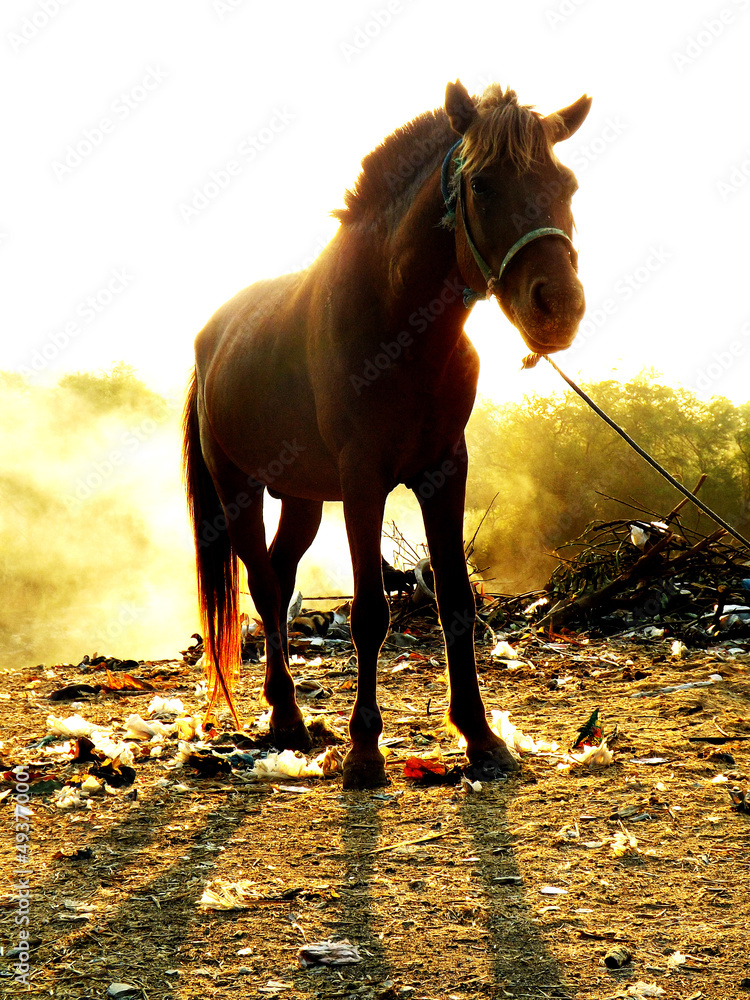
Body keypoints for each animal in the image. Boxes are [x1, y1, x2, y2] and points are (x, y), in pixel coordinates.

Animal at [182, 79, 591, 789]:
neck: (398, 319)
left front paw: (480, 736)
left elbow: (455, 599)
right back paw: (286, 716)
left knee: (281, 578)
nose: (558, 306)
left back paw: (283, 706)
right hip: (240, 490)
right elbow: (369, 611)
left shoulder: (444, 470)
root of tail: (213, 337)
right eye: (482, 185)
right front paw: (365, 750)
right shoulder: (364, 479)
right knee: (263, 583)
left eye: (565, 183)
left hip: (303, 497)